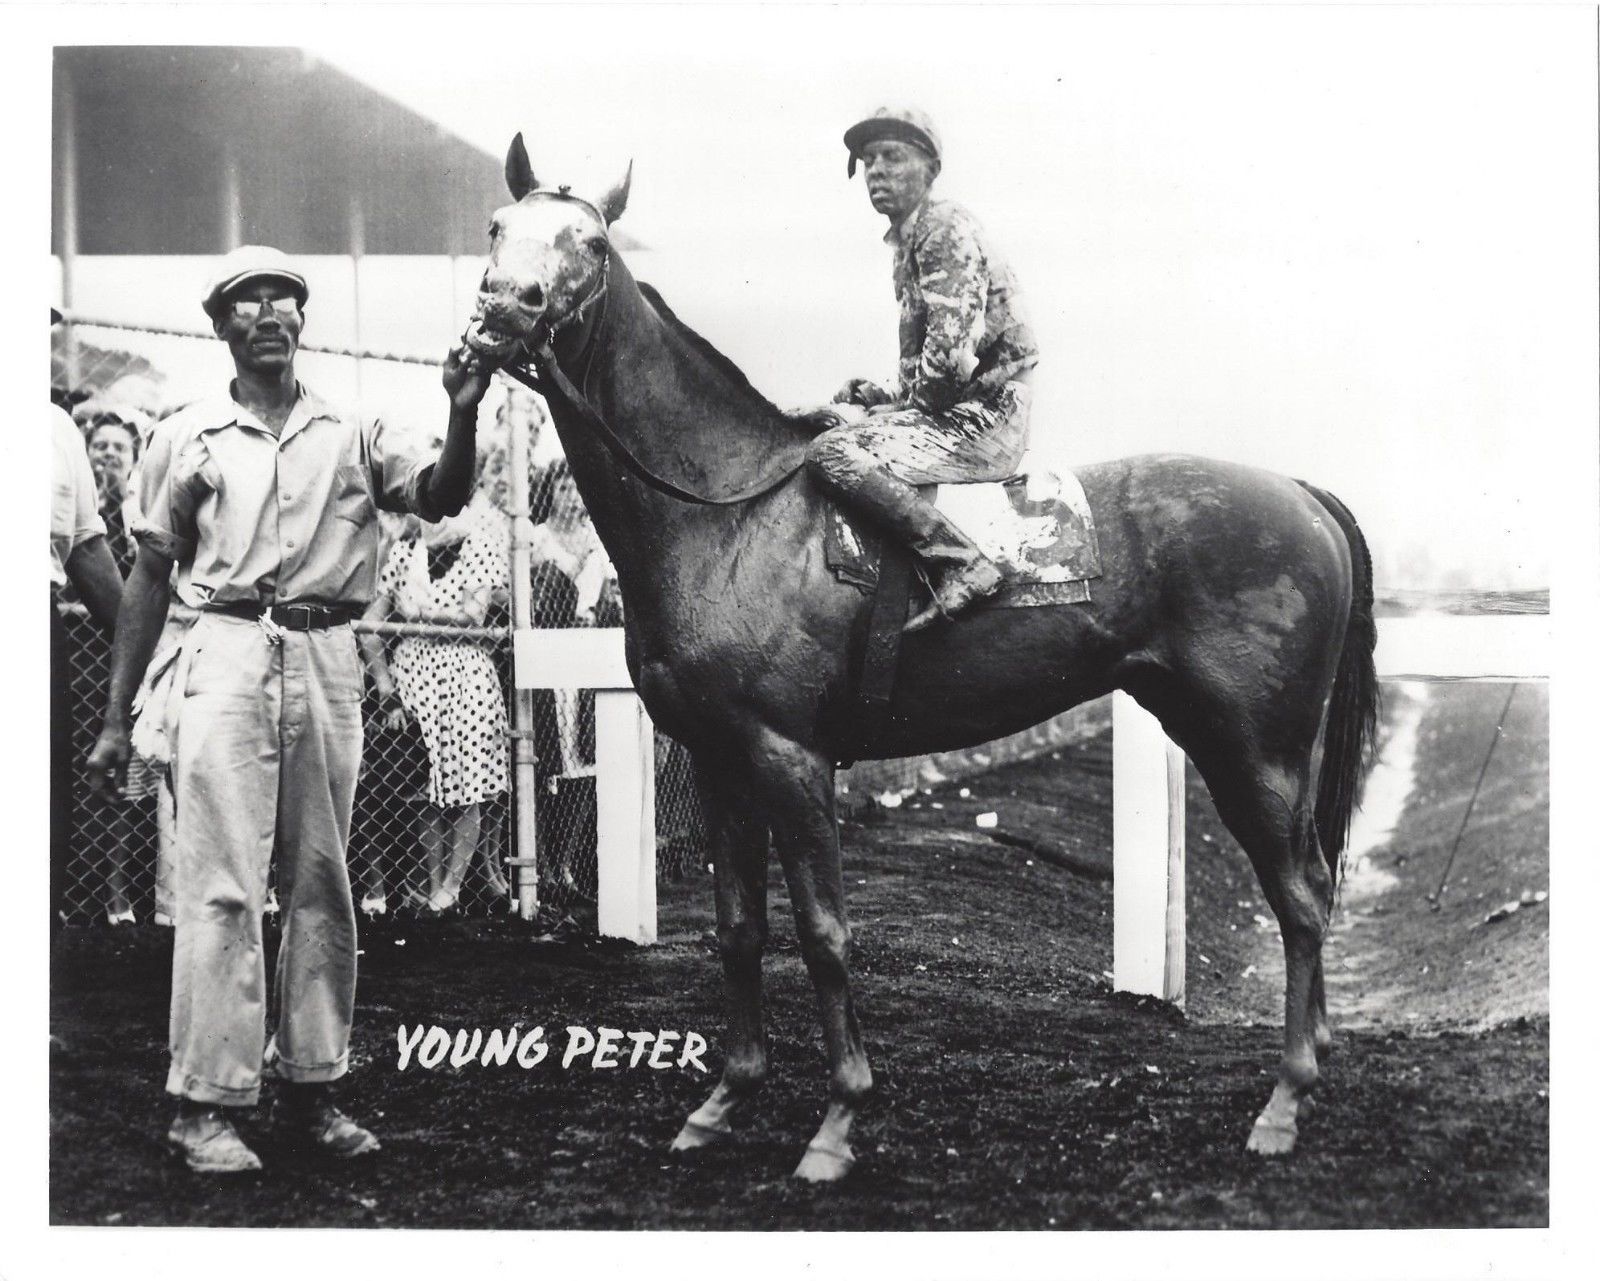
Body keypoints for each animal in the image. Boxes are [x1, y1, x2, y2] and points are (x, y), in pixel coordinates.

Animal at [467, 135, 1382, 1183]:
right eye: (498, 225)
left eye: (589, 241)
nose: (504, 306)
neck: (726, 511)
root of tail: (1302, 493)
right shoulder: (715, 758)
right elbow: (740, 931)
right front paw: (722, 1102)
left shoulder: (789, 755)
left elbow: (823, 933)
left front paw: (836, 1121)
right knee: (1309, 886)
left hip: (1257, 750)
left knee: (1303, 900)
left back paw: (1285, 1100)